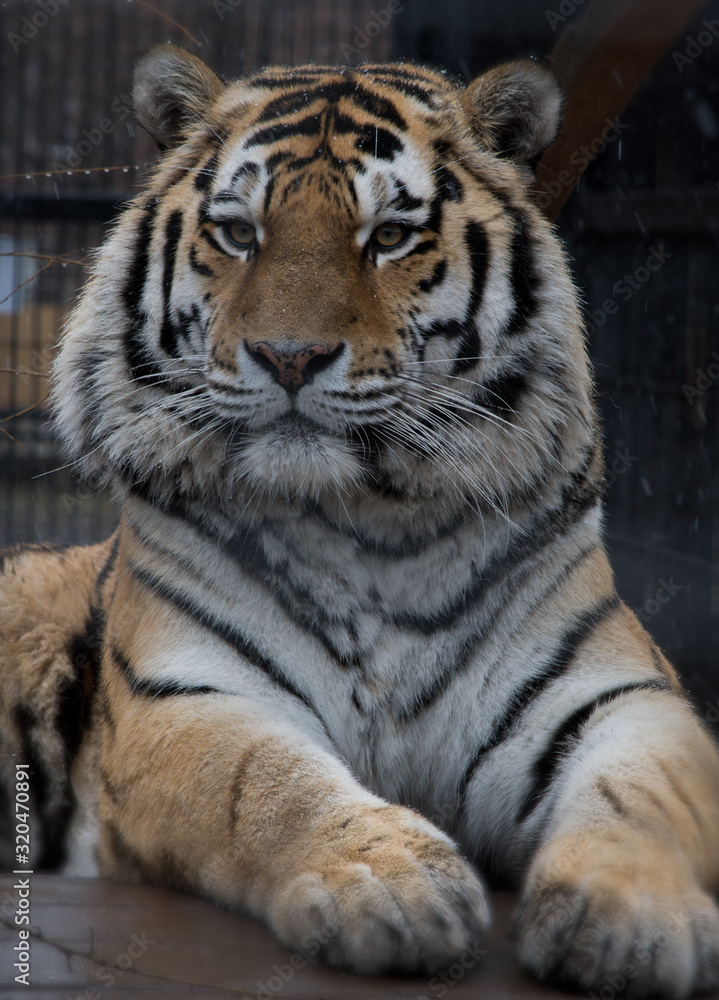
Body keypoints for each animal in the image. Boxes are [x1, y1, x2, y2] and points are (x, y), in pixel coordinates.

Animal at [1, 41, 719, 1000]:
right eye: (240, 233)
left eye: (387, 237)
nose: (289, 357)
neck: (374, 523)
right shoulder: (186, 699)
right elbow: (269, 784)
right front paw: (392, 881)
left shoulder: (620, 698)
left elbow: (643, 794)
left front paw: (633, 919)